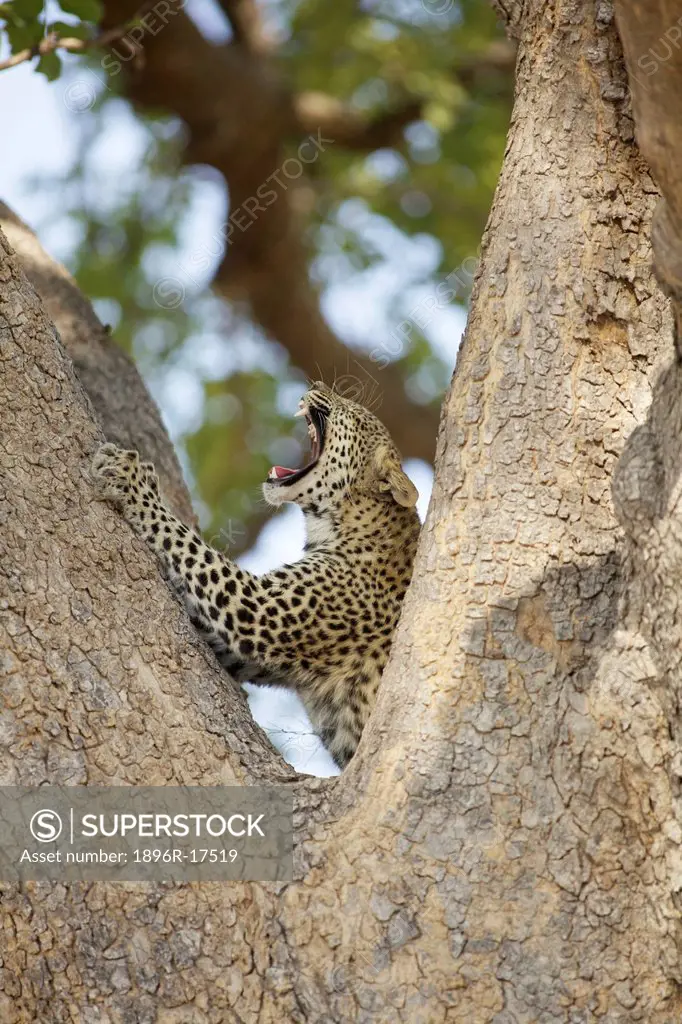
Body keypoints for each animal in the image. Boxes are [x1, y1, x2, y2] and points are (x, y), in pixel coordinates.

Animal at [90, 385, 419, 770]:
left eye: (353, 411)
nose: (317, 386)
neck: (350, 518)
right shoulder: (258, 658)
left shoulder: (257, 608)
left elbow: (191, 546)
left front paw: (132, 479)